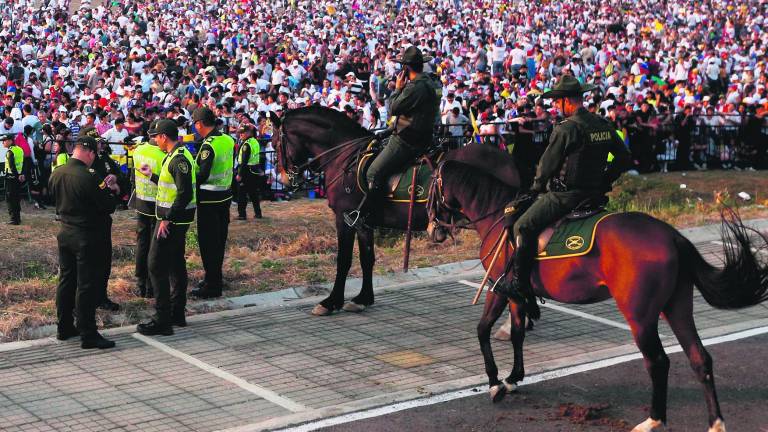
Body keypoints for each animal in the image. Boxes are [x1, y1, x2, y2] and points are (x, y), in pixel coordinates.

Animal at [272, 106, 520, 316]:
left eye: (275, 143)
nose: (285, 179)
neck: (345, 156)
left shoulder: (345, 218)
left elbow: (343, 260)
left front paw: (331, 302)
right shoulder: (363, 221)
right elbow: (367, 258)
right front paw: (363, 298)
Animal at [426, 159, 768, 432]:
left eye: (429, 189)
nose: (433, 231)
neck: (498, 215)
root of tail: (672, 235)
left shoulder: (499, 289)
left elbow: (483, 329)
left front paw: (495, 382)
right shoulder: (517, 295)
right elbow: (518, 334)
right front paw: (513, 377)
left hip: (640, 316)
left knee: (658, 362)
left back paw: (654, 419)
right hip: (678, 306)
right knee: (699, 358)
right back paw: (715, 423)